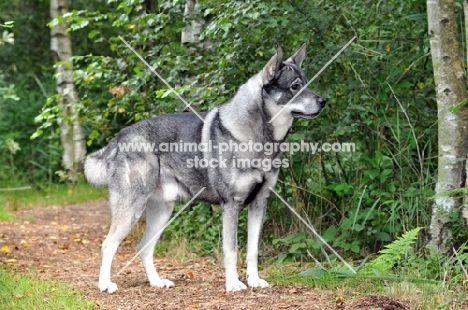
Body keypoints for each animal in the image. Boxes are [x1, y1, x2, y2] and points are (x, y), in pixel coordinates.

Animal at [84, 44, 326, 294]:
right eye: (295, 86)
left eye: (307, 82)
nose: (323, 101)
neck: (261, 137)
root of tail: (119, 138)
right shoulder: (231, 205)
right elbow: (231, 251)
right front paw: (233, 283)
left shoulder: (259, 204)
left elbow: (252, 250)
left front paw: (254, 280)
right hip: (131, 208)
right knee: (108, 244)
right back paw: (105, 284)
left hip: (162, 212)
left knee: (144, 248)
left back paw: (156, 282)